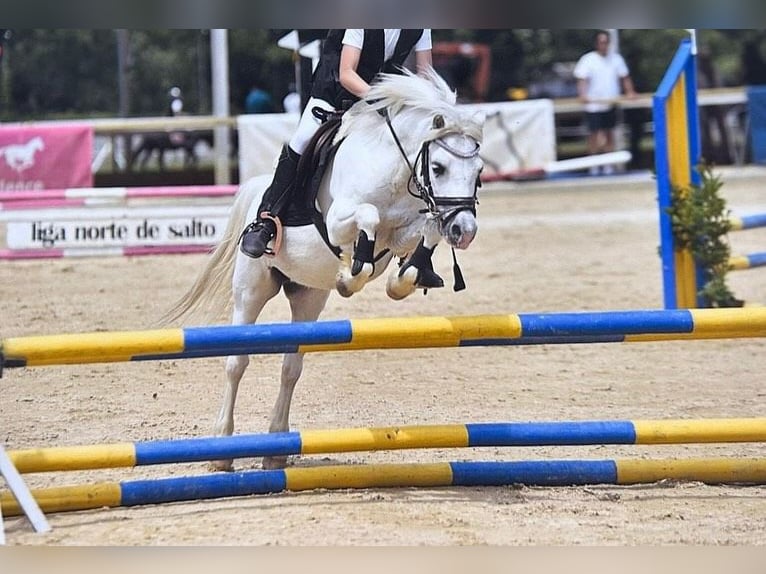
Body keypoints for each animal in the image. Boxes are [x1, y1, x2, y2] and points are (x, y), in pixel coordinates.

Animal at [163, 68, 485, 471]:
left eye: (479, 171)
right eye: (438, 168)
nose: (465, 231)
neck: (395, 170)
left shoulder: (410, 228)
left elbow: (424, 231)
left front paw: (404, 278)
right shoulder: (339, 220)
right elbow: (369, 217)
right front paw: (351, 274)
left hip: (308, 297)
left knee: (290, 369)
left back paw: (276, 450)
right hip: (251, 290)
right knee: (236, 362)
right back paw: (221, 450)